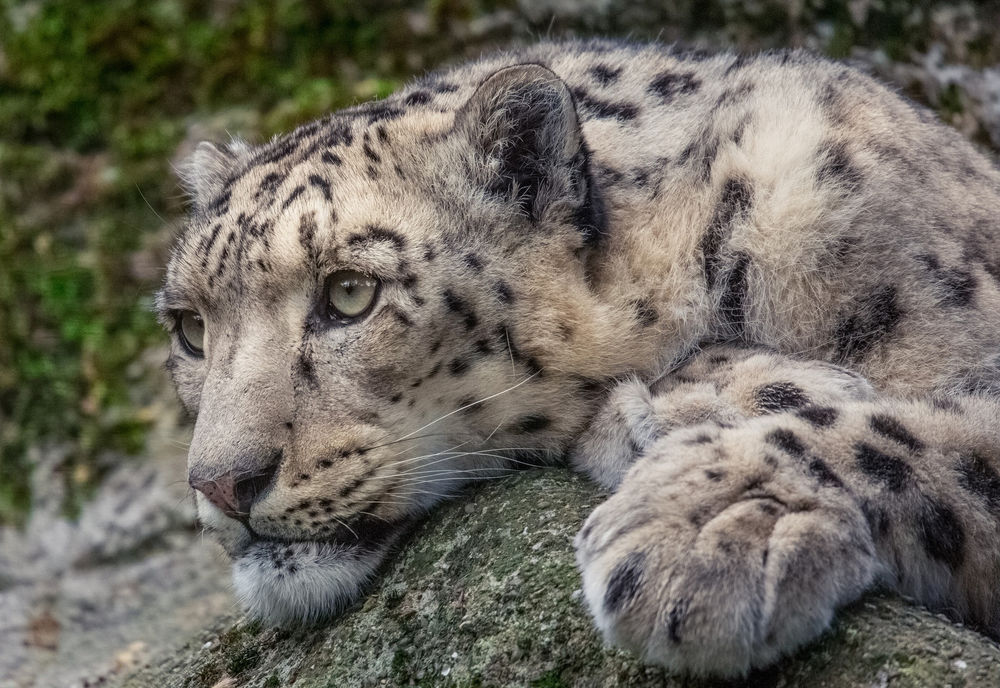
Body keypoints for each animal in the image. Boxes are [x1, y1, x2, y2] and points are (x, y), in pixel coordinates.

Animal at [156, 39, 1000, 676]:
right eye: (190, 327)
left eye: (351, 293)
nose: (220, 484)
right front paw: (712, 400)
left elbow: (923, 437)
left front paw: (706, 524)